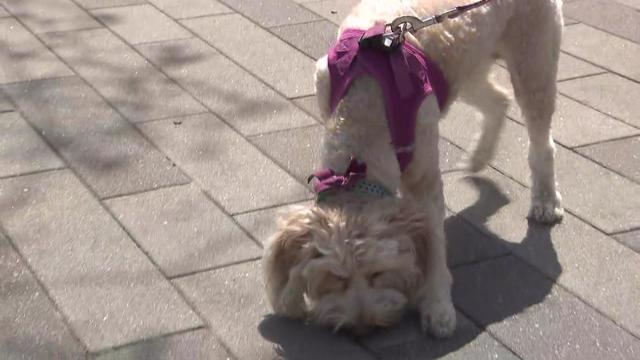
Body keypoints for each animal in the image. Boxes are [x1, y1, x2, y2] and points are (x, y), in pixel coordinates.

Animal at [262, 0, 564, 338]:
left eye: (378, 274)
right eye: (337, 278)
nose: (363, 327)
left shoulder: (424, 179)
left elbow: (433, 243)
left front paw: (437, 305)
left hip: (533, 60)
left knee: (541, 140)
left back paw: (545, 201)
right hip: (466, 68)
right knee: (498, 99)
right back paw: (479, 155)